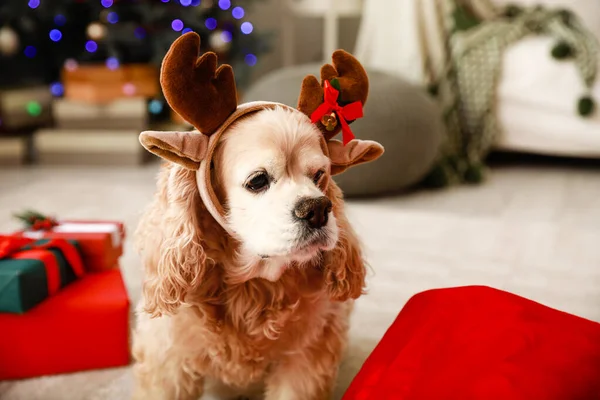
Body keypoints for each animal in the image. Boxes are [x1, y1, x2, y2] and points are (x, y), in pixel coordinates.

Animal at [132, 33, 384, 400]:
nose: (318, 209)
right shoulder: (167, 359)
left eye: (319, 176)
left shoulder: (305, 361)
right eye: (258, 181)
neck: (251, 287)